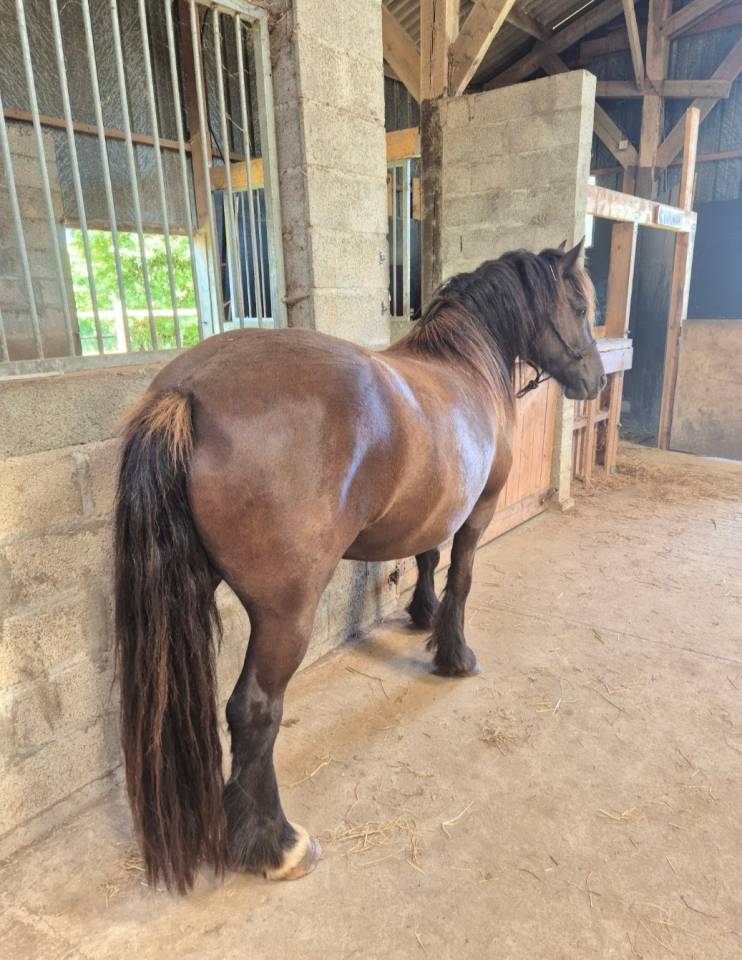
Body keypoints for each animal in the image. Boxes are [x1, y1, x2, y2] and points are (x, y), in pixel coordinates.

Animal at [114, 239, 605, 894]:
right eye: (579, 305)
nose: (595, 379)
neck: (465, 367)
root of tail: (187, 392)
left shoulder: (434, 509)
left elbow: (426, 556)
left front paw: (421, 615)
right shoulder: (477, 511)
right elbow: (461, 578)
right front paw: (455, 654)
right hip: (285, 614)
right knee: (252, 710)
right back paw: (277, 845)